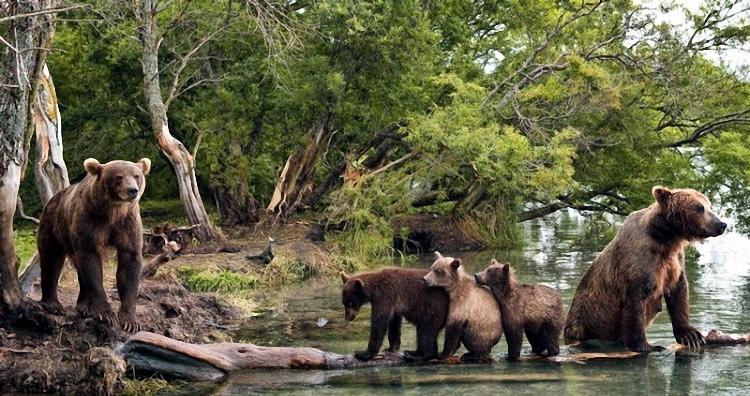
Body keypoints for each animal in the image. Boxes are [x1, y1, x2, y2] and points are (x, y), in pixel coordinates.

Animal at [38, 158, 151, 332]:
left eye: (136, 175)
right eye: (119, 177)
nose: (133, 190)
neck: (112, 211)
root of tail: (52, 199)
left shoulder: (127, 223)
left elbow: (130, 263)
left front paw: (130, 321)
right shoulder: (90, 221)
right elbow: (91, 262)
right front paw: (106, 314)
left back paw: (84, 306)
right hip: (53, 227)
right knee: (52, 260)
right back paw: (53, 305)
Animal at [568, 186, 728, 352]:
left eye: (709, 205)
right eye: (699, 207)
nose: (721, 224)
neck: (666, 238)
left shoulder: (674, 260)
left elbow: (678, 292)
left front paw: (690, 335)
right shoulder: (639, 261)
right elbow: (636, 301)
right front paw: (646, 346)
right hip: (583, 320)